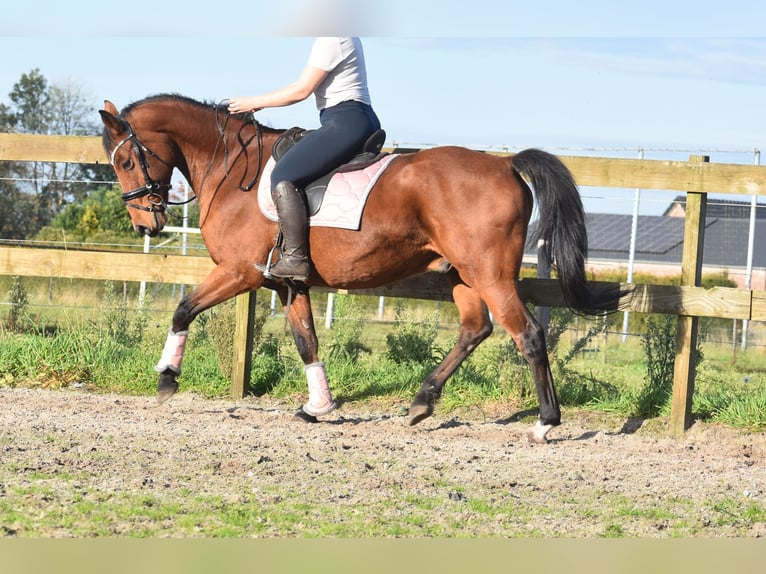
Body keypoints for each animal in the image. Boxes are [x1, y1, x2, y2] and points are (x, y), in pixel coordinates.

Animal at [102, 93, 628, 446]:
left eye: (125, 160)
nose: (145, 223)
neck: (233, 171)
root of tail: (505, 166)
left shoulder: (242, 272)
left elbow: (183, 309)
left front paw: (167, 378)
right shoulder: (287, 281)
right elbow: (306, 340)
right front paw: (318, 406)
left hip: (490, 274)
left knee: (528, 336)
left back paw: (544, 423)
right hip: (461, 273)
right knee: (474, 329)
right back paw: (421, 402)